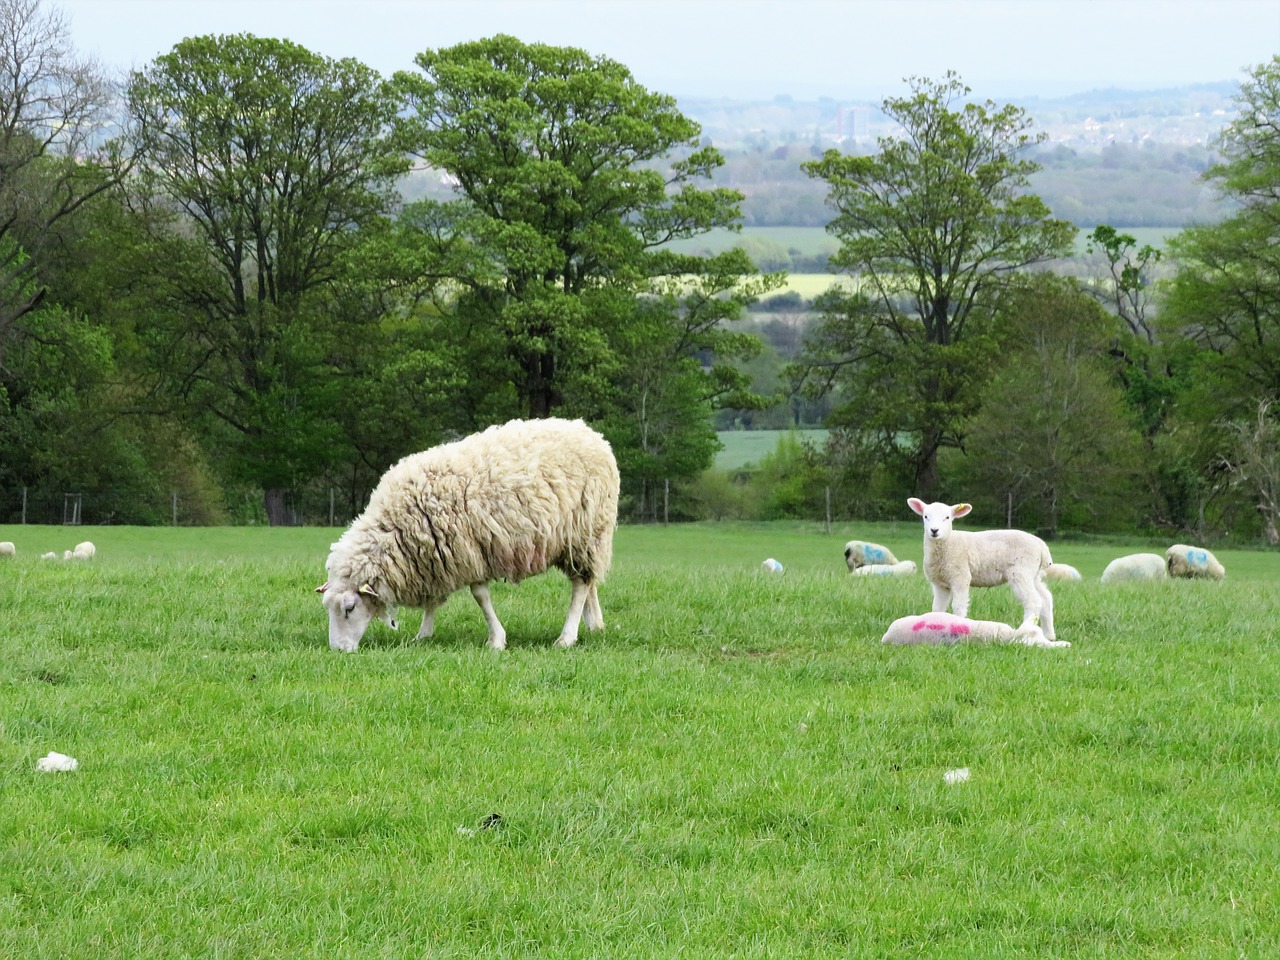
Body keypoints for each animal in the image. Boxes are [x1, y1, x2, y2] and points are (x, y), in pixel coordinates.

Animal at [318, 419, 619, 655]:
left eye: (349, 608)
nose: (338, 650)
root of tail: (592, 434)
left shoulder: (469, 549)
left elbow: (480, 596)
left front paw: (496, 640)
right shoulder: (435, 555)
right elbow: (433, 600)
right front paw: (423, 634)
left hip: (586, 532)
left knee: (580, 585)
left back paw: (567, 636)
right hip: (579, 541)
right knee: (589, 582)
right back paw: (594, 624)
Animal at [906, 499, 1054, 642]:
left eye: (947, 517)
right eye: (925, 516)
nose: (934, 530)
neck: (947, 543)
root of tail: (1041, 545)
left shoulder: (961, 576)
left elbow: (958, 605)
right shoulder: (940, 584)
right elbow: (937, 609)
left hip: (1021, 572)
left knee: (1033, 601)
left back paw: (1027, 631)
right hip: (1034, 575)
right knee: (1046, 598)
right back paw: (1049, 635)